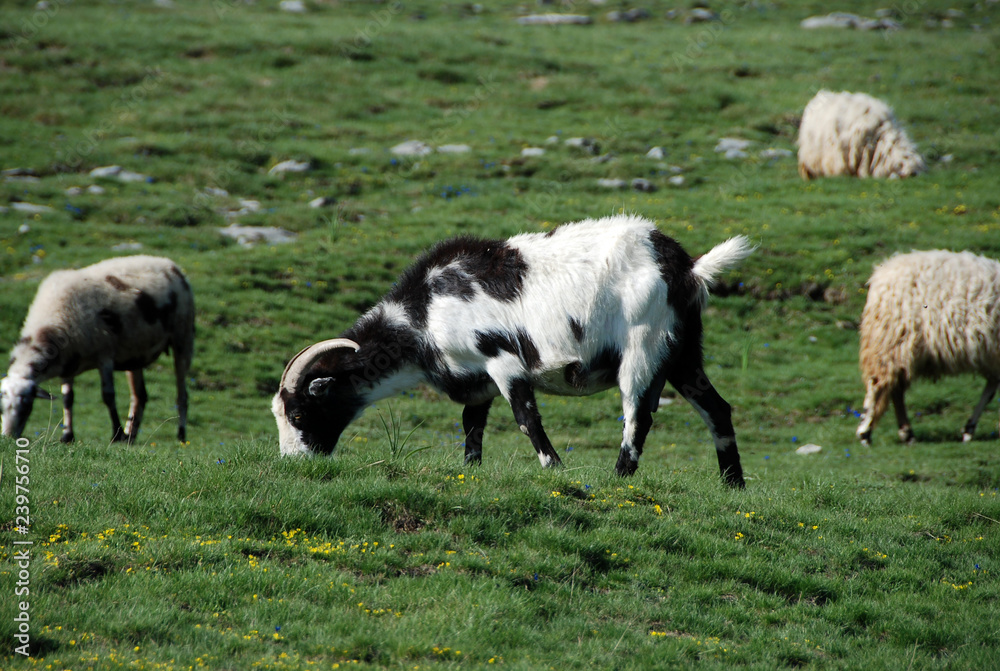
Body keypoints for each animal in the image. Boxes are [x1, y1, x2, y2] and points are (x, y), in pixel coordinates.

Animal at [1, 255, 194, 444]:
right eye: (1, 408)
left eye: (26, 406)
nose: (8, 437)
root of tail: (170, 264)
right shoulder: (68, 361)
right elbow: (68, 398)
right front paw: (67, 436)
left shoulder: (105, 355)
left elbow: (108, 395)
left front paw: (116, 433)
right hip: (136, 353)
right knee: (140, 396)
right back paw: (130, 436)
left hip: (182, 336)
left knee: (182, 394)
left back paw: (181, 434)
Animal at [272, 215, 752, 486]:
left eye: (299, 413)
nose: (294, 463)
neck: (423, 315)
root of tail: (687, 268)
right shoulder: (477, 379)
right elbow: (472, 427)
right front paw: (471, 471)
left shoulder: (501, 359)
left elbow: (526, 419)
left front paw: (554, 469)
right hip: (683, 351)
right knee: (717, 408)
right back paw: (733, 486)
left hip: (644, 345)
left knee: (638, 415)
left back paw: (619, 480)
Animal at [856, 250, 1000, 445]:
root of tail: (881, 275)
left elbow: (991, 388)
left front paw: (969, 428)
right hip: (892, 341)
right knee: (877, 384)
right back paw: (865, 432)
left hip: (899, 347)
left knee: (895, 389)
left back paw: (906, 433)